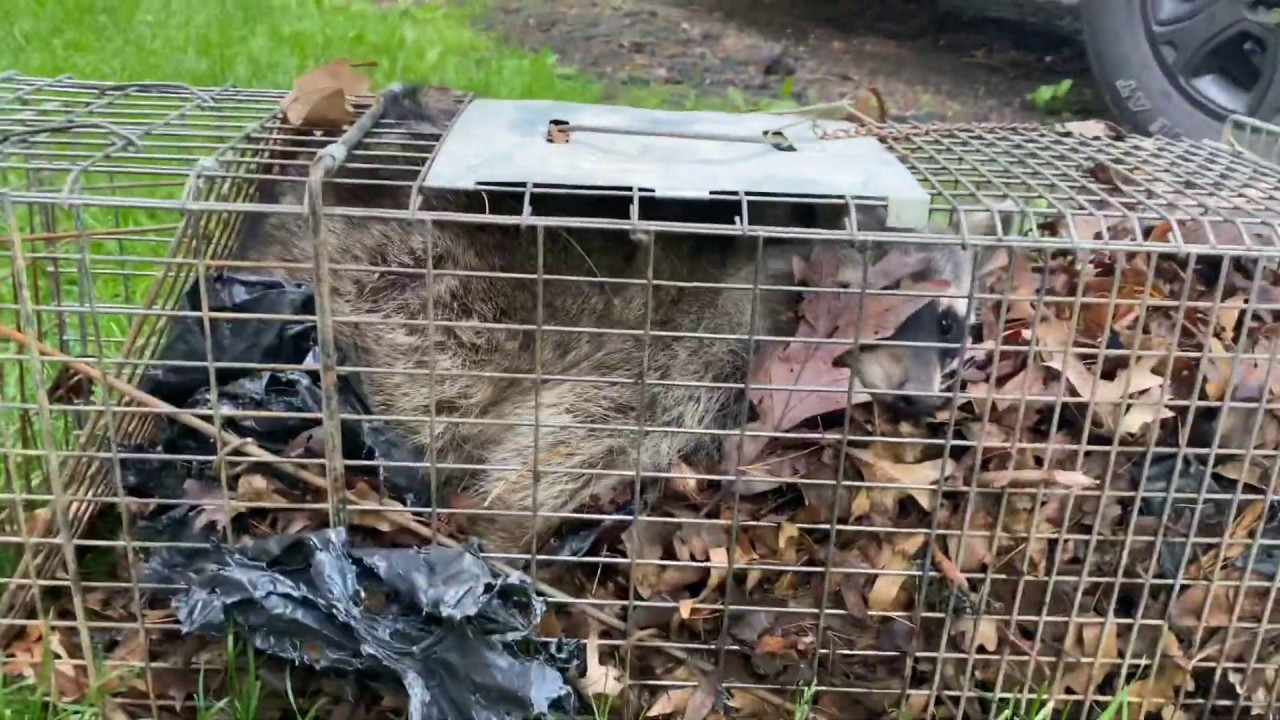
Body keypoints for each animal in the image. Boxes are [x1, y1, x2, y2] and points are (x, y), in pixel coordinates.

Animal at [230, 86, 996, 553]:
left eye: (951, 330)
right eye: (909, 311)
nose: (926, 403)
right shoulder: (688, 342)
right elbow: (565, 442)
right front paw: (509, 523)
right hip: (415, 275)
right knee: (446, 370)